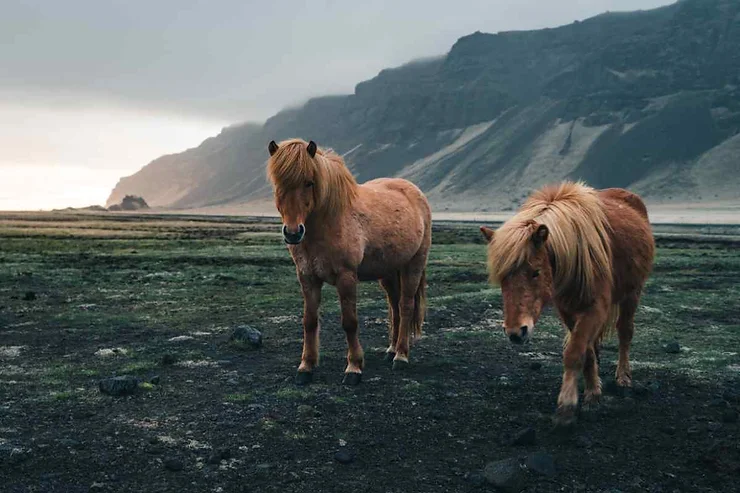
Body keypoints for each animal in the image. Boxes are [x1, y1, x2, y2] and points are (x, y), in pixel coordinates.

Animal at [266, 137, 430, 384]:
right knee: (394, 306)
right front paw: (306, 366)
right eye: (278, 184)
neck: (328, 221)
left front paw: (354, 367)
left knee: (406, 305)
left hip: (413, 265)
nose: (293, 233)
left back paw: (401, 355)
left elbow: (349, 322)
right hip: (389, 271)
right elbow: (309, 321)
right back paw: (391, 349)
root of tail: (415, 192)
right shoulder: (307, 277)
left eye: (309, 183)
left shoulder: (346, 277)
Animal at [480, 181, 652, 422]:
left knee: (625, 332)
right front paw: (592, 392)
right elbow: (585, 351)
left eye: (535, 272)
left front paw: (567, 405)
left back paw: (623, 377)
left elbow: (574, 352)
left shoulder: (596, 308)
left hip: (632, 293)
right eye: (502, 277)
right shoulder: (567, 311)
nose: (515, 332)